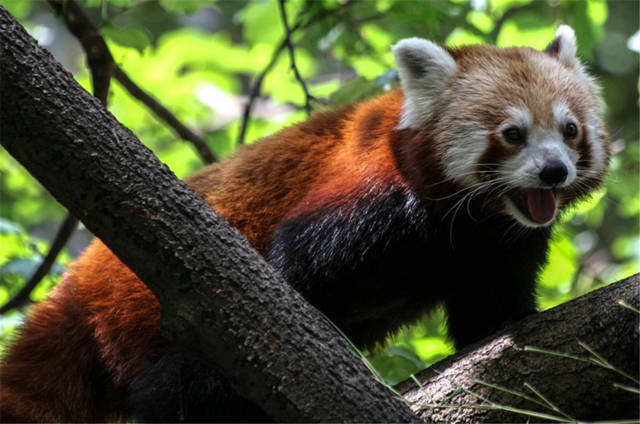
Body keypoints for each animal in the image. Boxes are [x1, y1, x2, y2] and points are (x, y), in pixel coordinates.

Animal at [0, 25, 608, 420]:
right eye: (512, 134)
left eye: (570, 129)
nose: (553, 172)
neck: (464, 221)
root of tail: (77, 284)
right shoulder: (366, 197)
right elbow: (293, 273)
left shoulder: (495, 247)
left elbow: (491, 309)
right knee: (182, 382)